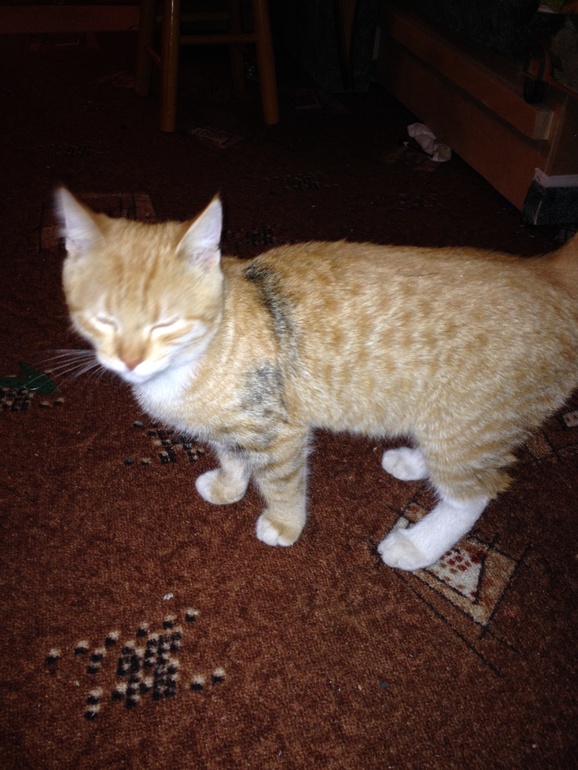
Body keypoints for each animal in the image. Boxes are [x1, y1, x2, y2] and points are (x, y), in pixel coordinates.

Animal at [56, 187, 578, 571]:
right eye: (103, 319)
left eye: (165, 323)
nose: (129, 360)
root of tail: (547, 272)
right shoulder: (236, 425)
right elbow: (231, 455)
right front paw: (229, 486)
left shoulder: (280, 433)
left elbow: (283, 484)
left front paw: (284, 525)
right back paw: (413, 462)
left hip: (470, 428)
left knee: (473, 494)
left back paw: (417, 546)